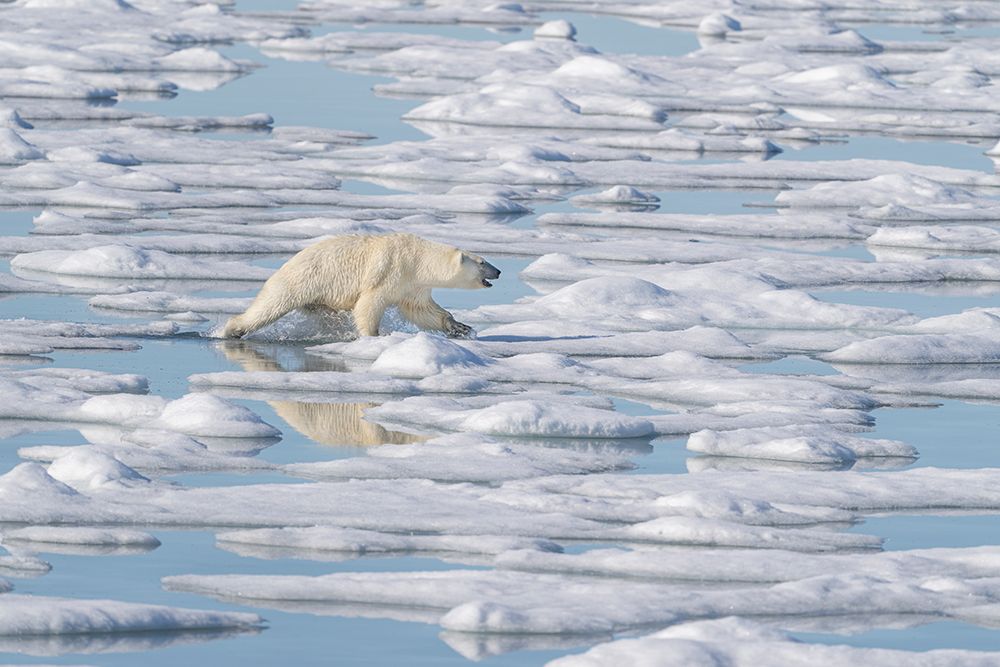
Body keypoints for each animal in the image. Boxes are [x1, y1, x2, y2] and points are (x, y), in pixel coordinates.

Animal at [222, 233, 500, 339]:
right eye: (483, 262)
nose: (498, 271)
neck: (417, 258)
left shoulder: (413, 285)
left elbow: (421, 310)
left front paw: (460, 327)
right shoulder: (391, 269)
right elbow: (369, 303)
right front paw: (373, 336)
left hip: (320, 300)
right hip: (301, 280)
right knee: (270, 305)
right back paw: (231, 330)